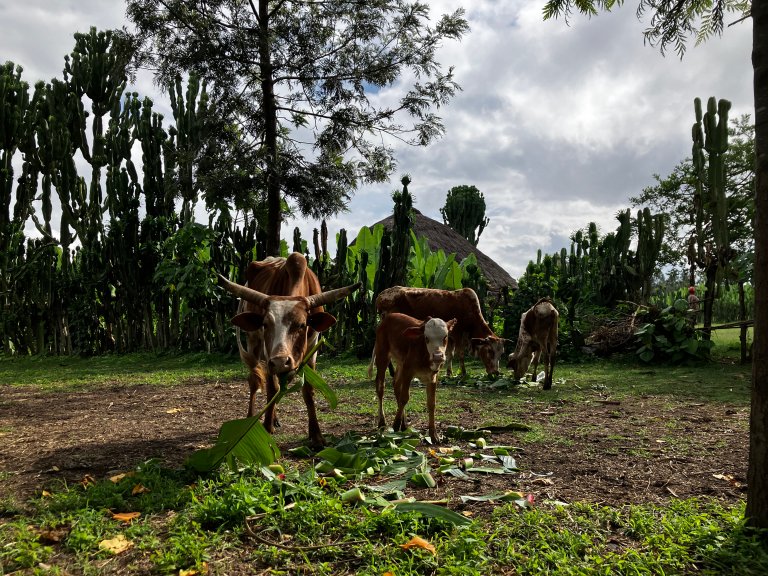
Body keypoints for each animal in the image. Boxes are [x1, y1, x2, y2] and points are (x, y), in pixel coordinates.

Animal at [216, 253, 360, 450]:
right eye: (266, 324)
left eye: (301, 325)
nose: (281, 361)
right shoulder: (268, 353)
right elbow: (271, 388)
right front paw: (266, 428)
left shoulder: (312, 347)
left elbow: (308, 391)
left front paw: (316, 436)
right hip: (253, 342)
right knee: (255, 381)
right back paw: (252, 418)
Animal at [376, 286, 508, 378]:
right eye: (490, 351)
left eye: (501, 352)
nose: (496, 372)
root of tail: (381, 296)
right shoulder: (458, 334)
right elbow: (460, 354)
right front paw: (463, 373)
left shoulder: (451, 336)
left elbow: (450, 354)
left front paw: (449, 373)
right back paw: (392, 371)